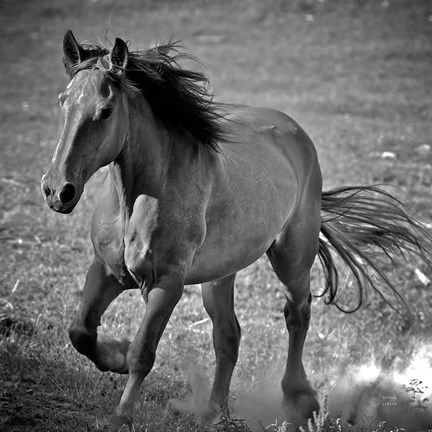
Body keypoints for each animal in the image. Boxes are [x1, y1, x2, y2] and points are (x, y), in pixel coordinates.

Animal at [40, 30, 432, 428]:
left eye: (105, 111)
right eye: (62, 101)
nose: (58, 191)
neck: (138, 198)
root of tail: (295, 133)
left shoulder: (167, 284)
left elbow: (143, 352)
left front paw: (122, 415)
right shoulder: (107, 270)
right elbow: (81, 331)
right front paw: (115, 356)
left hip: (292, 258)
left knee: (297, 314)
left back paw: (298, 401)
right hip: (219, 276)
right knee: (228, 335)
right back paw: (215, 412)